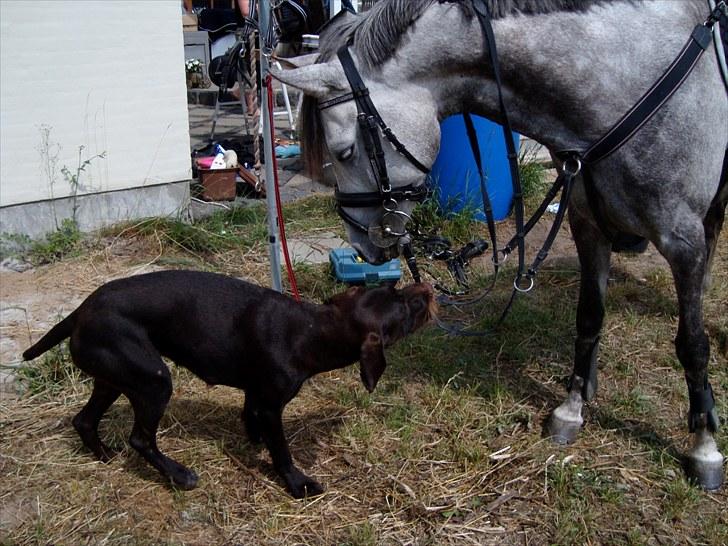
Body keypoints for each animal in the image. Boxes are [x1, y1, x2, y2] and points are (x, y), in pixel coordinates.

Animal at [21, 270, 432, 496]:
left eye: (395, 288)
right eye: (405, 307)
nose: (426, 288)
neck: (314, 329)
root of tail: (79, 312)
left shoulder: (255, 396)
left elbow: (250, 419)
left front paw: (253, 442)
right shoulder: (271, 406)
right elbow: (282, 452)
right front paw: (297, 483)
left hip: (115, 377)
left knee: (84, 420)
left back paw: (104, 454)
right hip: (154, 381)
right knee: (140, 438)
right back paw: (178, 475)